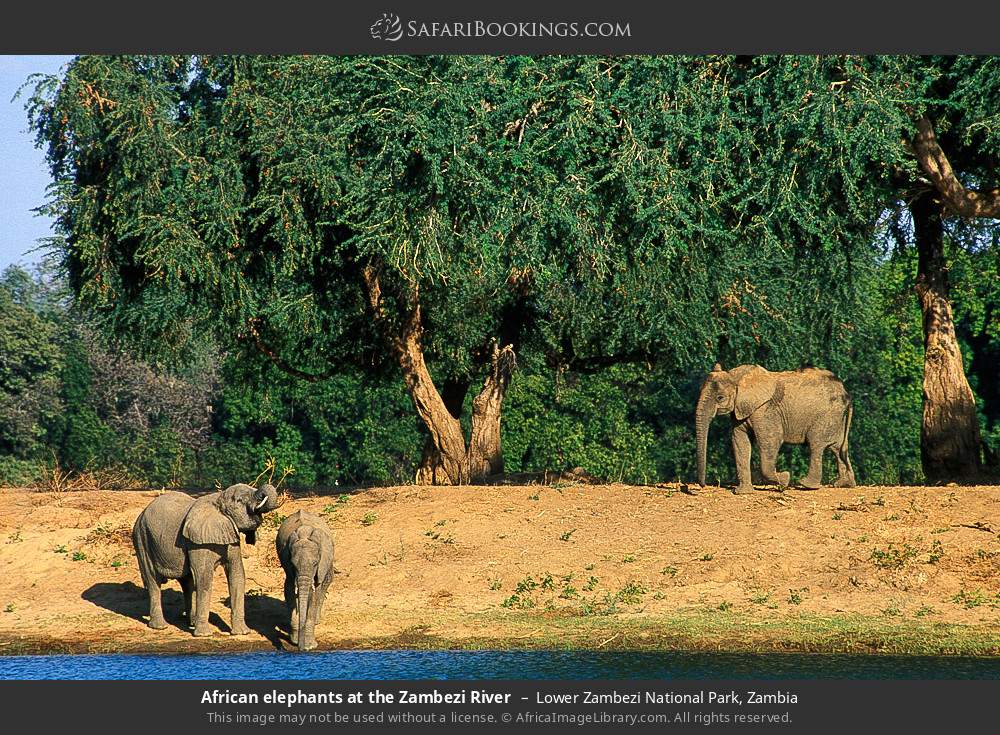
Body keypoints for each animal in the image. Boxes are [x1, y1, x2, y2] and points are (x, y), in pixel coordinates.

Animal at [131, 483, 282, 636]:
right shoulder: (198, 542)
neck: (218, 499)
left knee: (187, 583)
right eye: (239, 501)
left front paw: (242, 632)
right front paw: (204, 634)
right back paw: (160, 627)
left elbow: (237, 575)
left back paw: (191, 623)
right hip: (142, 538)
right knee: (153, 580)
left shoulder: (231, 536)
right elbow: (204, 578)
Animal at [275, 510, 335, 652]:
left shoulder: (321, 563)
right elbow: (289, 590)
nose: (300, 649)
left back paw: (317, 621)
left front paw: (309, 646)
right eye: (293, 564)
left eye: (315, 563)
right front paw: (295, 640)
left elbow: (314, 594)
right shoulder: (287, 562)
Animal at [695, 363, 855, 494]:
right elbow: (740, 442)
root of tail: (847, 394)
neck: (737, 376)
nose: (702, 486)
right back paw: (843, 484)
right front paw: (742, 492)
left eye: (720, 398)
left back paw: (806, 485)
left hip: (826, 415)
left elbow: (771, 441)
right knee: (838, 448)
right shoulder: (740, 410)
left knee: (816, 445)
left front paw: (785, 479)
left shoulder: (766, 410)